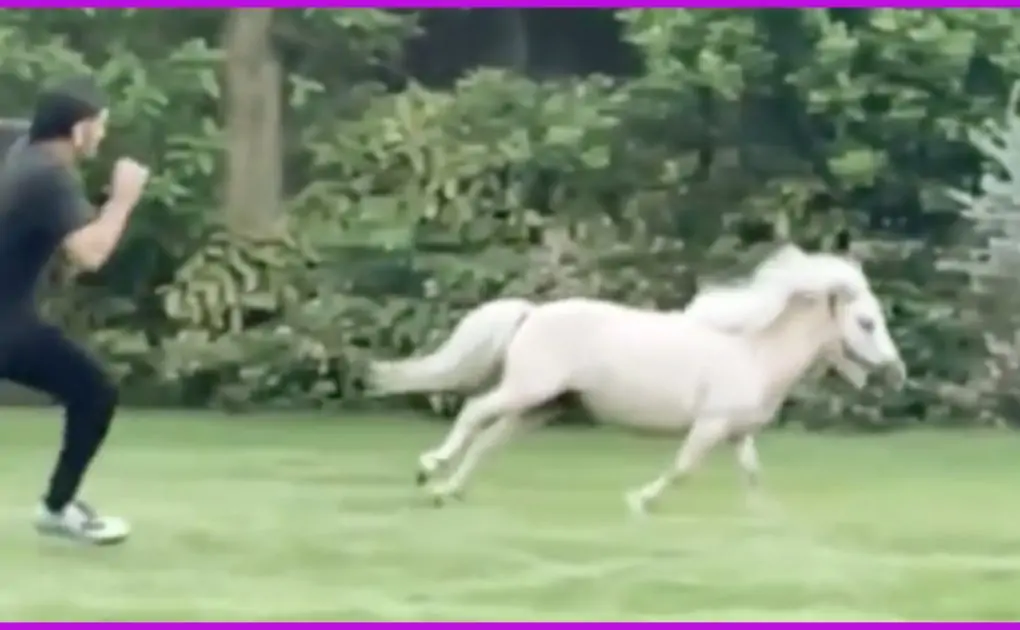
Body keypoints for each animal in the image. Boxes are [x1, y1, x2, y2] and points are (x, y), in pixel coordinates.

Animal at [369, 245, 906, 513]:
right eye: (866, 323)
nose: (896, 374)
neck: (752, 352)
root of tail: (532, 313)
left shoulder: (737, 433)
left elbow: (753, 477)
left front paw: (766, 521)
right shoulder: (711, 426)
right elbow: (683, 469)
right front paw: (639, 500)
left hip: (543, 406)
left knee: (488, 441)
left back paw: (446, 492)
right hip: (528, 390)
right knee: (474, 412)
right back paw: (429, 469)